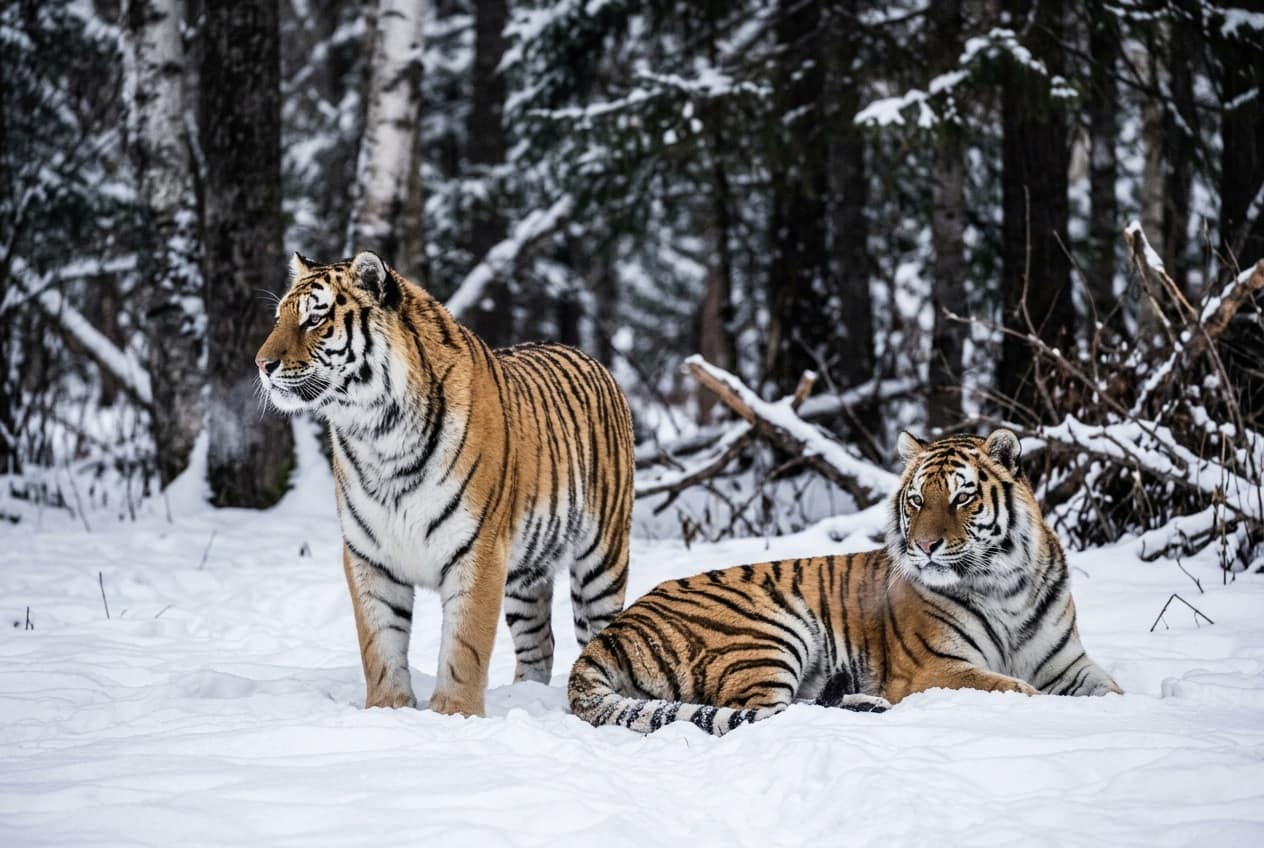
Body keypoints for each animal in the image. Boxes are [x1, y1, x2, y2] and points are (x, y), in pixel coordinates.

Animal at [255, 250, 634, 717]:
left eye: (314, 319)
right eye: (279, 319)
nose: (261, 364)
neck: (377, 434)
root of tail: (586, 355)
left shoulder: (479, 549)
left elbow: (464, 644)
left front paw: (454, 713)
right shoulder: (369, 554)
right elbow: (379, 642)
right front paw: (388, 708)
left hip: (602, 559)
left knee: (601, 633)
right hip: (526, 574)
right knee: (538, 643)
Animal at [568, 428, 1121, 736]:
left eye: (961, 497)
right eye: (917, 500)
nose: (925, 546)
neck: (1004, 586)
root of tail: (610, 632)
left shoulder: (1066, 662)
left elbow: (1112, 691)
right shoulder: (936, 668)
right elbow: (1017, 690)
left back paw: (865, 703)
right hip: (767, 631)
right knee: (764, 713)